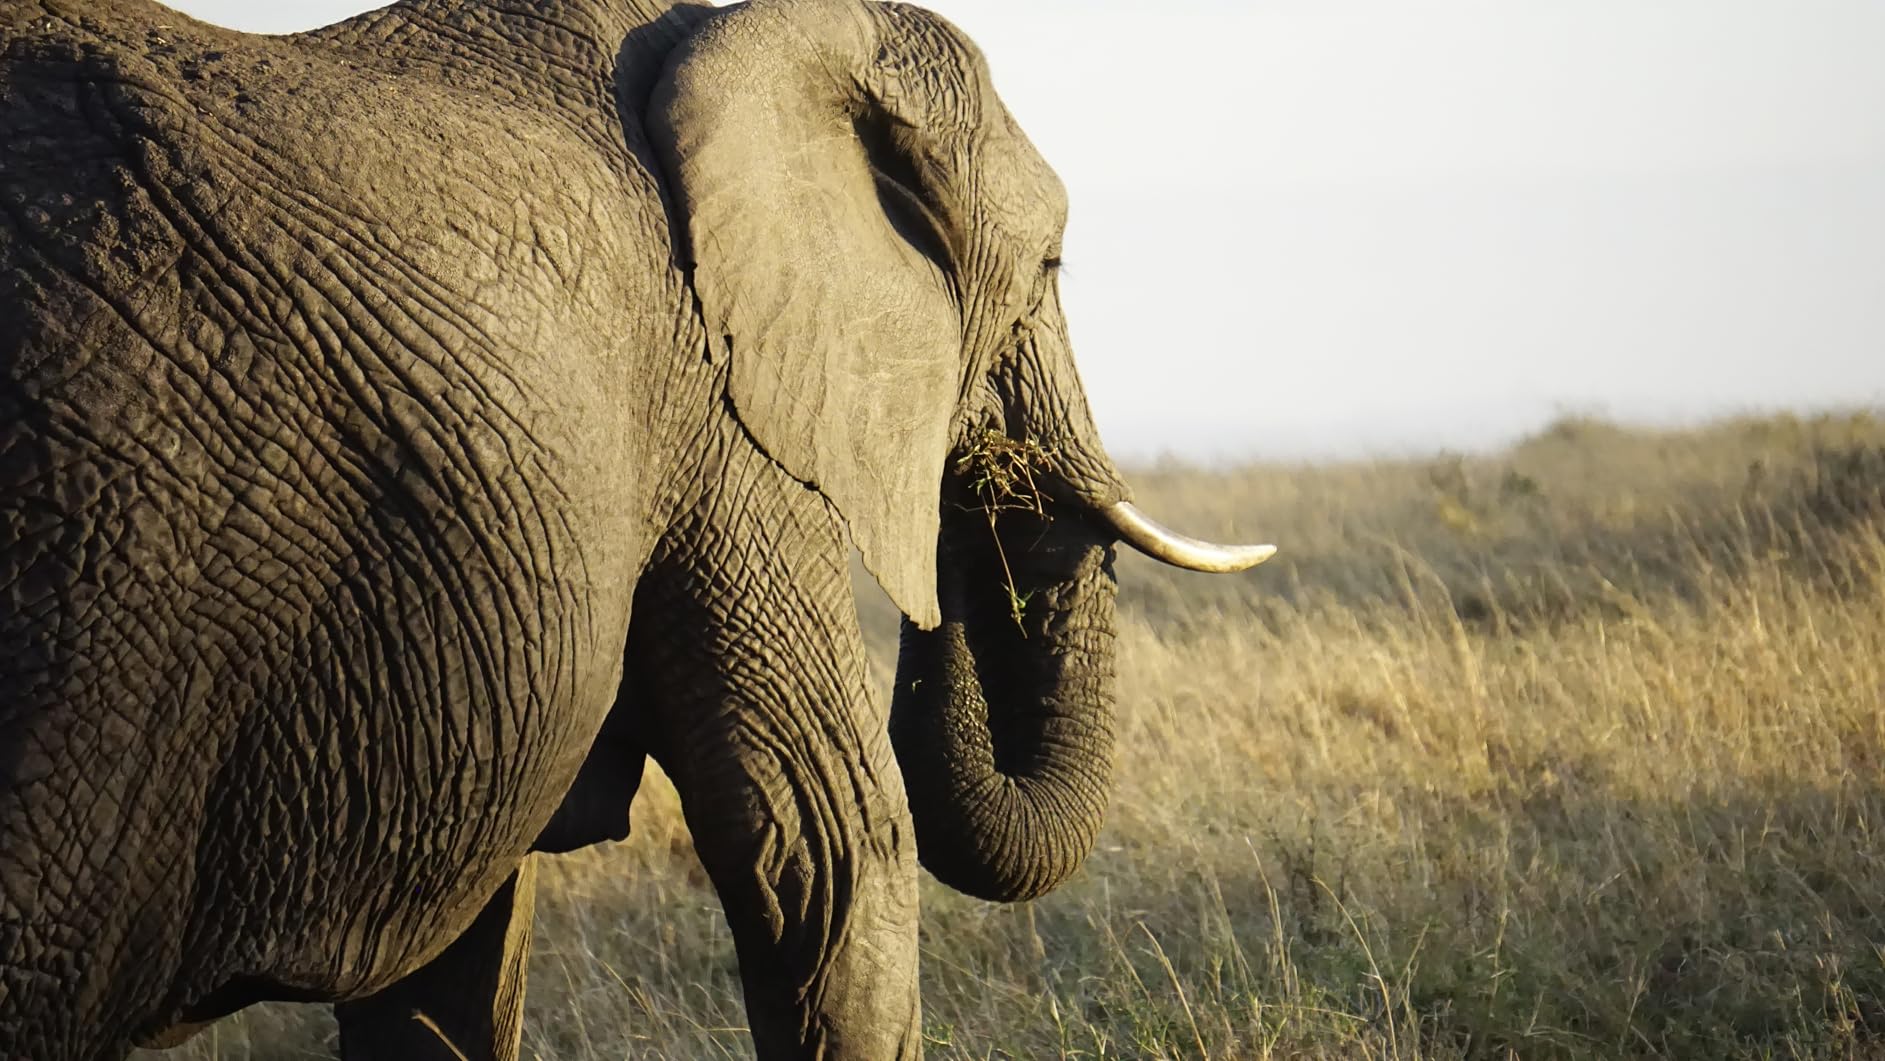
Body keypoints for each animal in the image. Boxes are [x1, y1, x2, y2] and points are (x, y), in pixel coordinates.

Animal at [0, 0, 1274, 1057]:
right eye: (1050, 265)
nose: (985, 489)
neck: (748, 28)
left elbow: (457, 958)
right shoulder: (720, 418)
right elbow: (829, 839)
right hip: (96, 597)